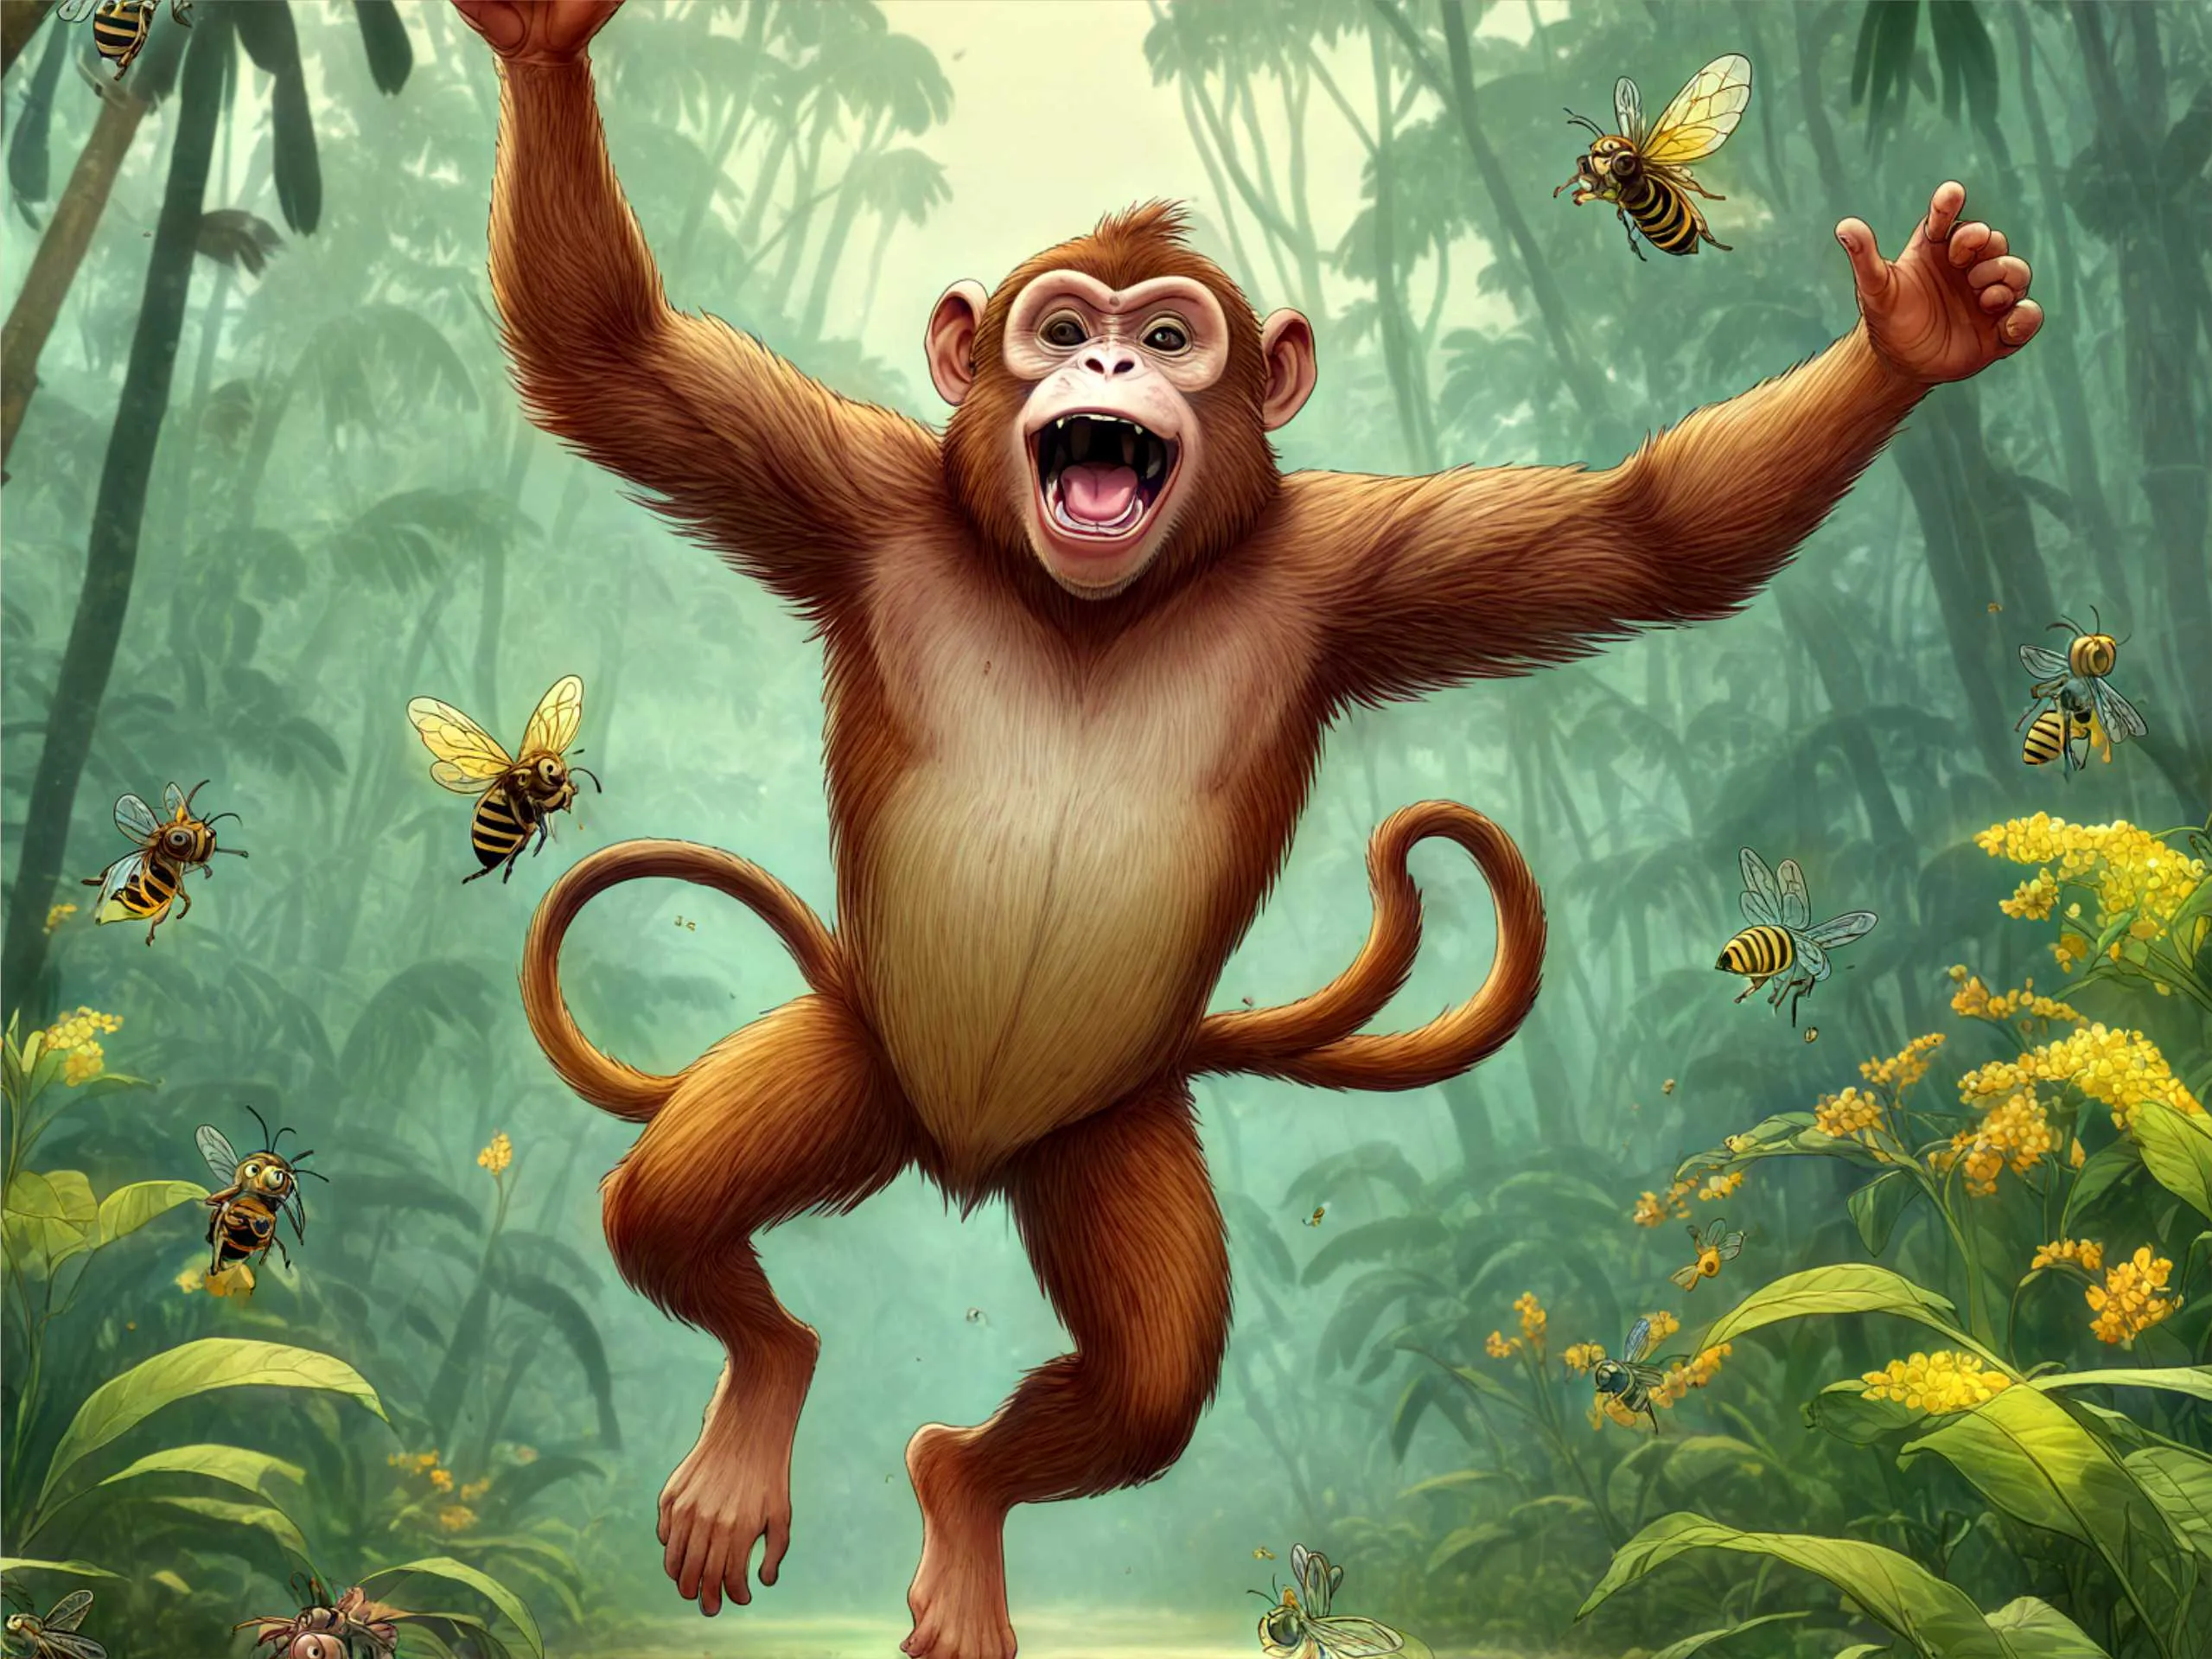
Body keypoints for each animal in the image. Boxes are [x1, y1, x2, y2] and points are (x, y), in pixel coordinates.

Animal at [450, 3, 2040, 1654]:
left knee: (1148, 1379)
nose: (1098, 356)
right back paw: (765, 1390)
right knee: (669, 1205)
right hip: (856, 1057)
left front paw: (1914, 331)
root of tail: (957, 1152)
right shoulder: (858, 501)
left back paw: (959, 1483)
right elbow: (614, 358)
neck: (1090, 608)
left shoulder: (1350, 567)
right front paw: (542, 47)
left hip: (1108, 1130)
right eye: (1056, 325)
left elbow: (1648, 537)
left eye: (1164, 338)